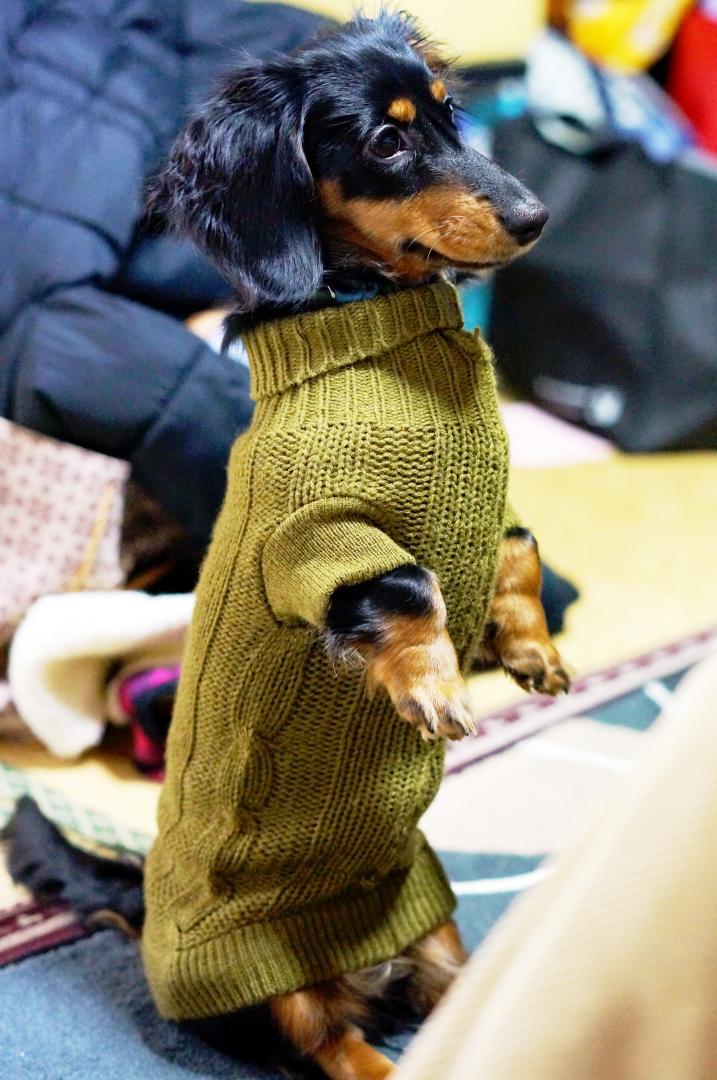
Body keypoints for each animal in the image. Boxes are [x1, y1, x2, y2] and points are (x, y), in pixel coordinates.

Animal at [55, 13, 570, 1079]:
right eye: (386, 140)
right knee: (333, 1045)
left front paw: (531, 653)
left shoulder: (491, 512)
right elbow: (408, 583)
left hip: (430, 912)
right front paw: (433, 688)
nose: (536, 216)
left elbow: (519, 547)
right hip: (275, 987)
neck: (365, 324)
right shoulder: (310, 534)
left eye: (453, 115)